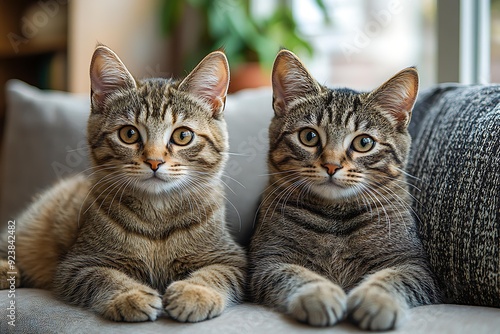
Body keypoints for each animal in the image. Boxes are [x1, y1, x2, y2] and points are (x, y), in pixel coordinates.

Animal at [0, 45, 246, 322]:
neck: (158, 213)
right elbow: (105, 277)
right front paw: (131, 295)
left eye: (183, 135)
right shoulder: (78, 264)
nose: (154, 161)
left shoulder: (230, 258)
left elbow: (214, 274)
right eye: (129, 134)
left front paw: (195, 293)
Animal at [248, 50, 440, 332]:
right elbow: (295, 274)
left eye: (364, 142)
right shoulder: (267, 260)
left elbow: (393, 278)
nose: (331, 165)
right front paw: (320, 294)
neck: (334, 216)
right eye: (309, 137)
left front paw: (376, 300)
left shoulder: (414, 265)